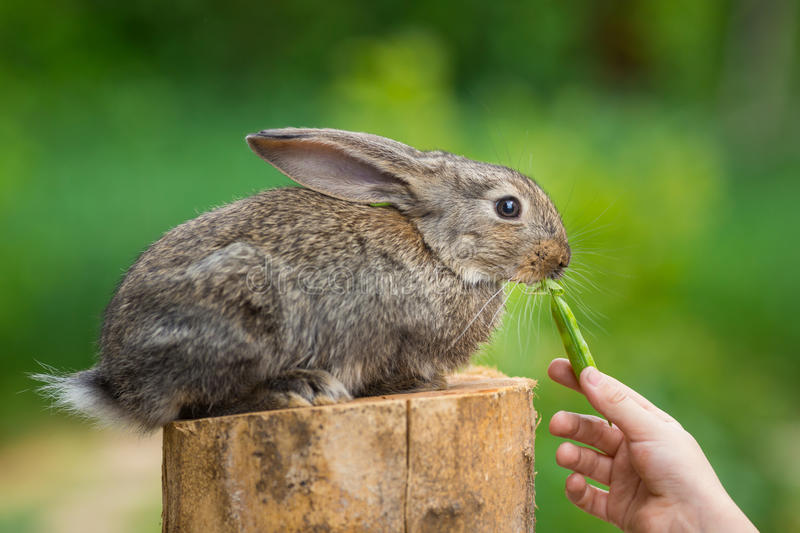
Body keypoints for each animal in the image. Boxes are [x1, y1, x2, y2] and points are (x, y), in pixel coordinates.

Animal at [36, 127, 568, 430]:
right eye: (508, 207)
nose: (560, 260)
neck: (439, 253)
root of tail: (122, 384)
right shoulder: (391, 340)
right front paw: (423, 385)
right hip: (241, 312)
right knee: (201, 406)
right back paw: (297, 389)